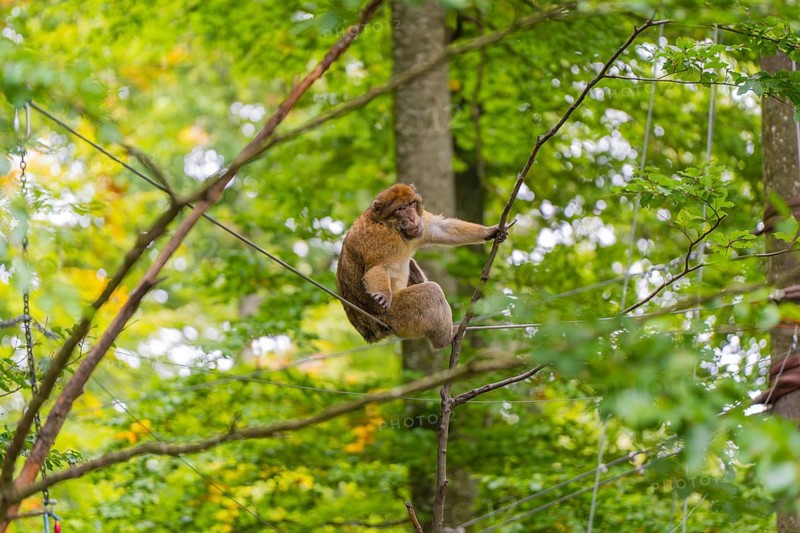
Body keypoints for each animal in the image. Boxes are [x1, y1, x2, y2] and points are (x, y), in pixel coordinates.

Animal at [336, 183, 511, 349]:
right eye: (400, 209)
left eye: (412, 205)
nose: (413, 218)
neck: (392, 228)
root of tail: (369, 331)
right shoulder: (380, 239)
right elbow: (377, 268)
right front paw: (383, 295)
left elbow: (439, 228)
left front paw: (491, 231)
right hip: (395, 315)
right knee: (431, 292)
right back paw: (445, 339)